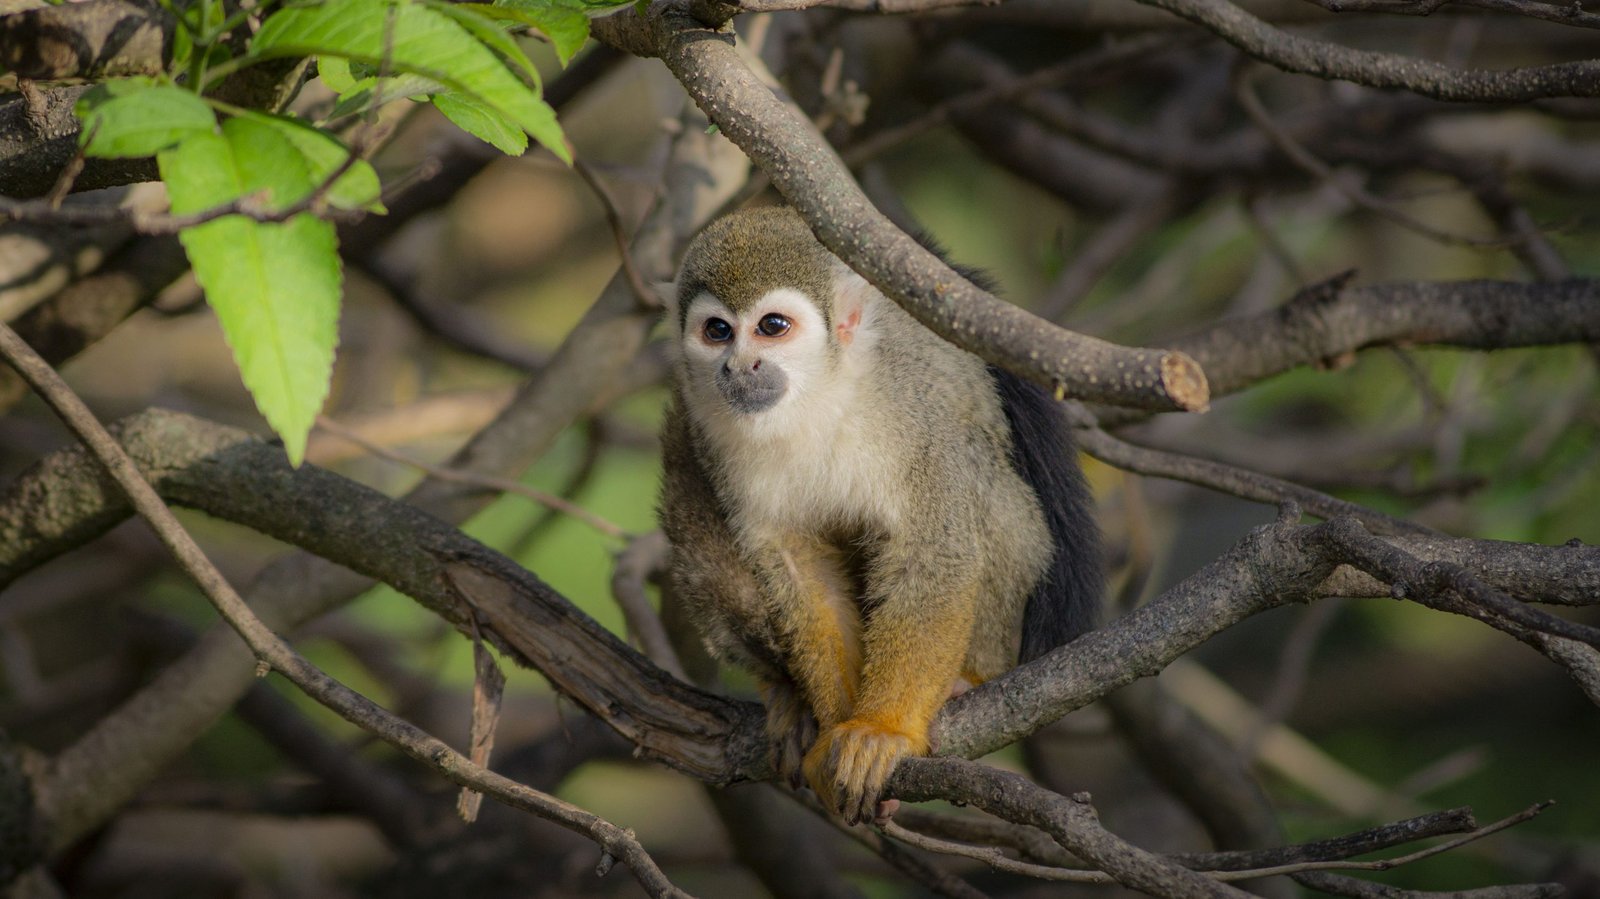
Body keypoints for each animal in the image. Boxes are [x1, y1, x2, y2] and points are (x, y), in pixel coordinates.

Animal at [658, 206, 1101, 825]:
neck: (818, 398)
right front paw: (834, 726)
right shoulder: (715, 435)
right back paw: (788, 694)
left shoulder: (914, 413)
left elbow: (933, 548)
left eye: (772, 327)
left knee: (978, 480)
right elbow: (798, 567)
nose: (739, 367)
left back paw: (968, 678)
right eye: (717, 331)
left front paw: (880, 729)